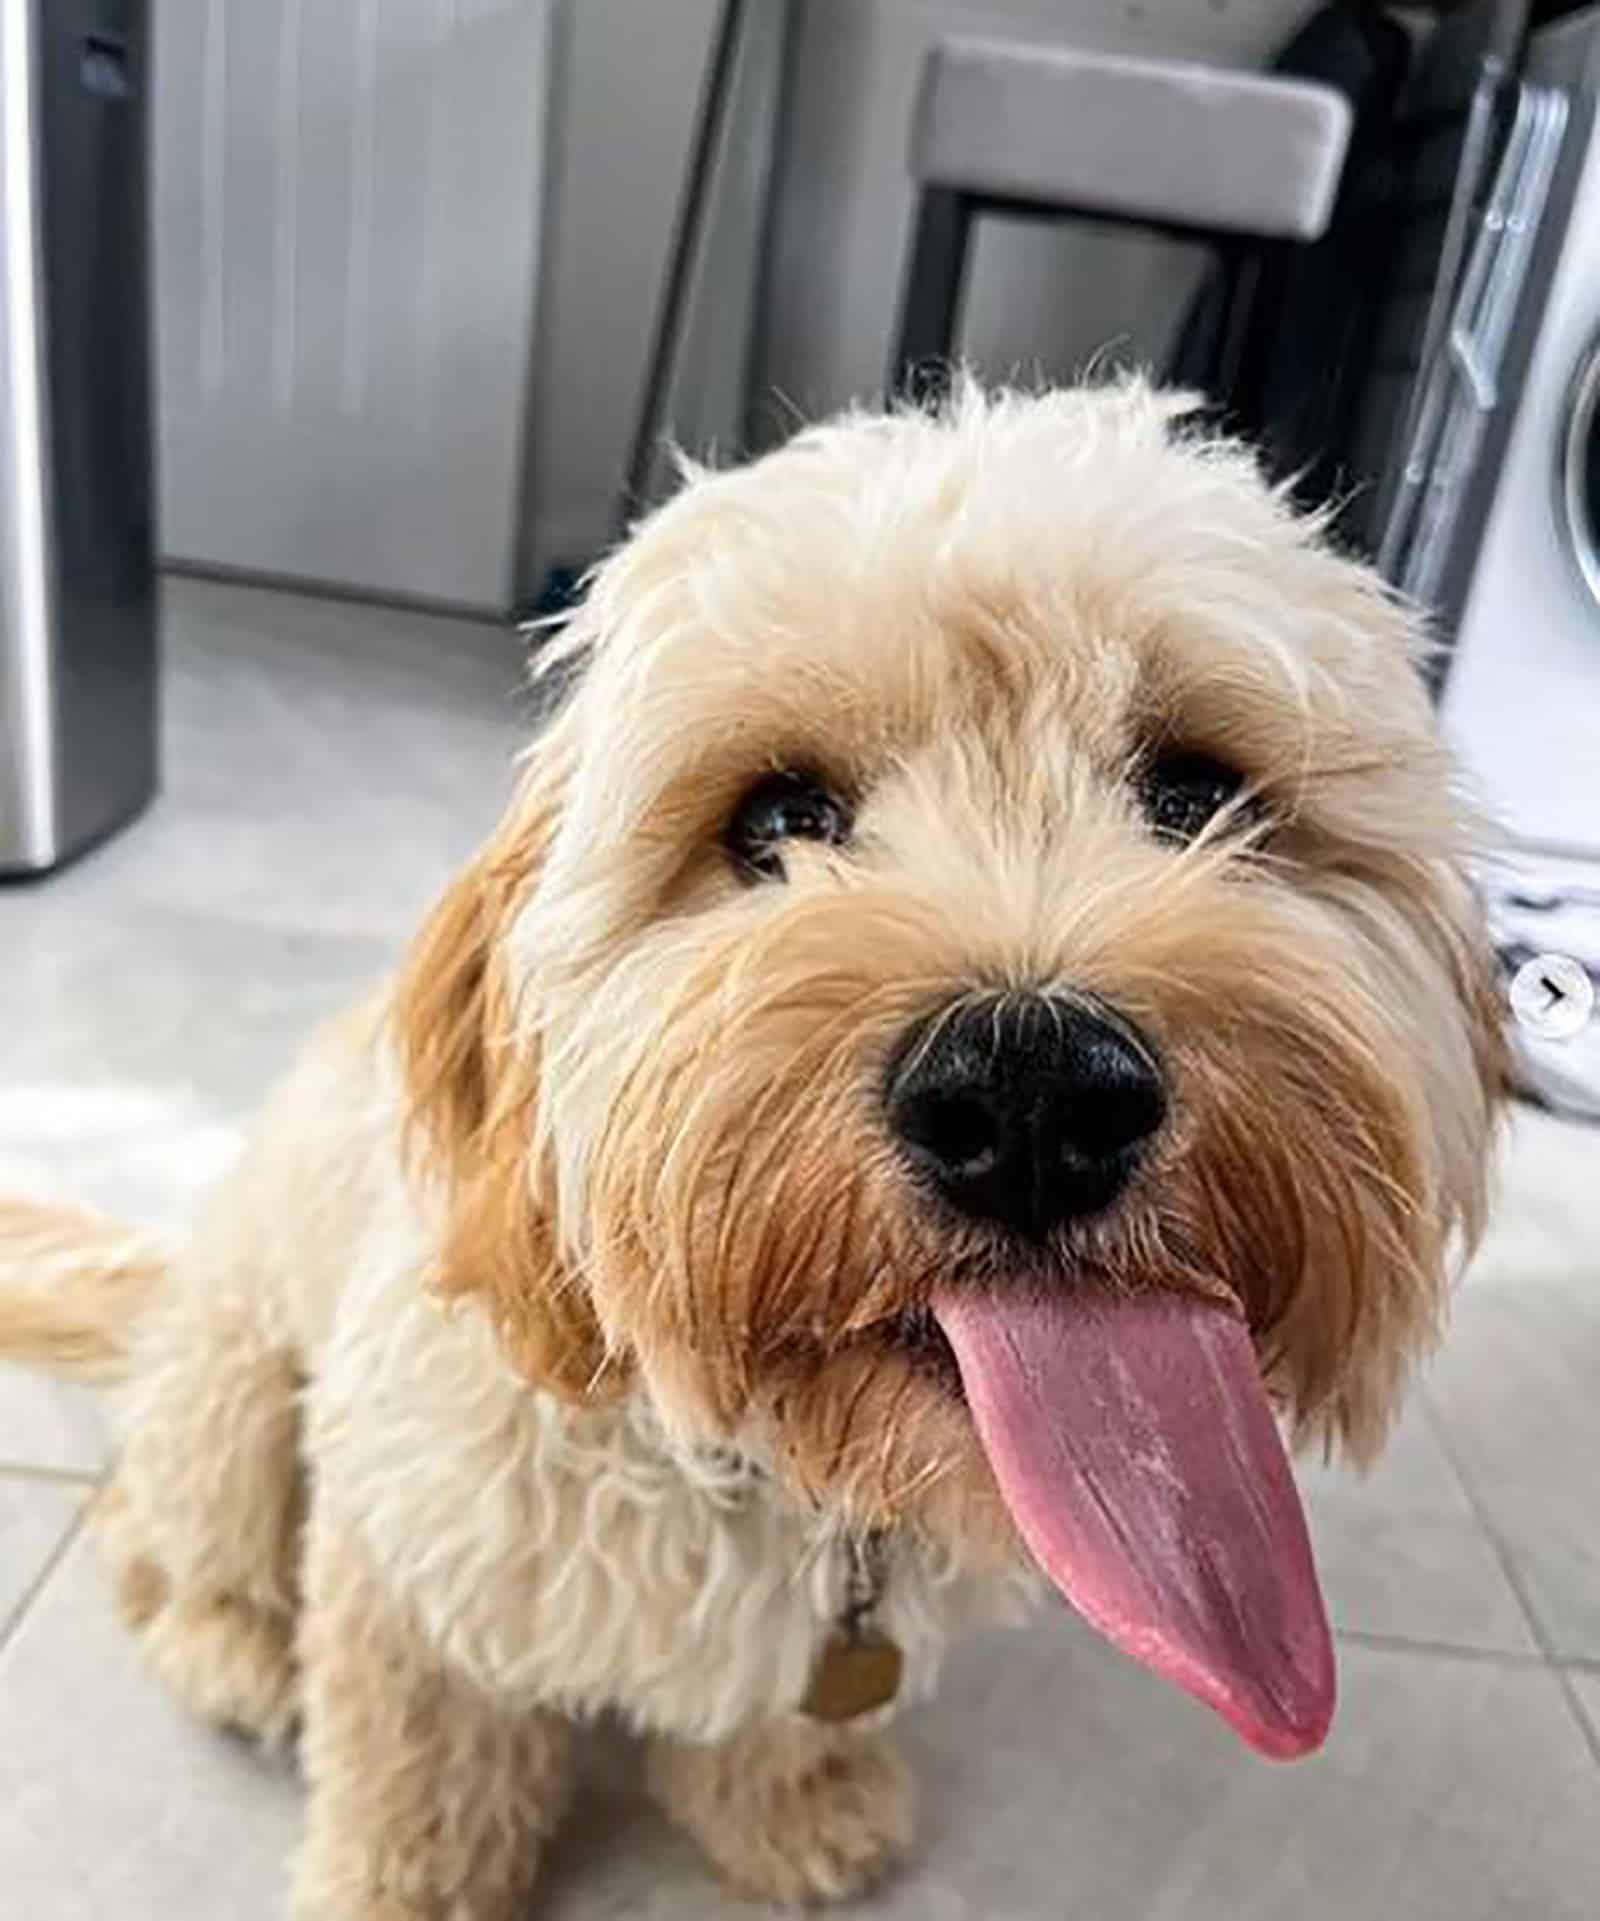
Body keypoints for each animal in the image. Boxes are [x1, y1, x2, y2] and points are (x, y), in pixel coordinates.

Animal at [0, 382, 1498, 1921]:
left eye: (1198, 793)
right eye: (777, 818)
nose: (1033, 1093)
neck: (752, 1461)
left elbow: (784, 1725)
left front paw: (794, 1808)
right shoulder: (411, 1567)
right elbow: (416, 1778)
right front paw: (396, 1891)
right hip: (233, 1393)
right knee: (153, 1527)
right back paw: (228, 1639)